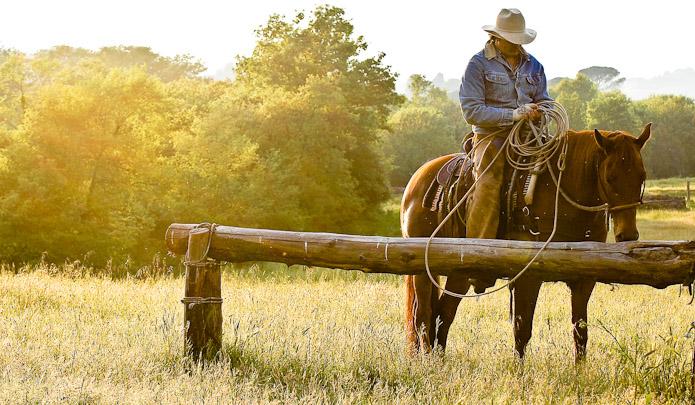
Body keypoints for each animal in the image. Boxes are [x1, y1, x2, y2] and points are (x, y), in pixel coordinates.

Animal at [402, 122, 652, 360]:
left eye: (642, 176)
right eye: (610, 177)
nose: (628, 235)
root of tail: (418, 178)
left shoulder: (584, 279)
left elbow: (580, 332)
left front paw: (580, 370)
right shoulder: (529, 275)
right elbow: (522, 331)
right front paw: (518, 371)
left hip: (458, 273)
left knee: (443, 313)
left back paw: (439, 359)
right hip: (423, 270)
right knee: (423, 315)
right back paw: (428, 361)